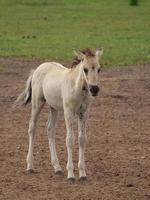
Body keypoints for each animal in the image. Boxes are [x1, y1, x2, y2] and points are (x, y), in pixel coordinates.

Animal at [15, 48, 103, 183]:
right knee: (32, 127)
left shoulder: (84, 113)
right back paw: (30, 166)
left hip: (54, 107)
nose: (94, 89)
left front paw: (82, 173)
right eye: (85, 69)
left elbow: (82, 139)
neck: (77, 88)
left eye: (99, 69)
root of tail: (37, 69)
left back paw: (57, 167)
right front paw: (71, 174)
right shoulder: (68, 112)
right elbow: (70, 139)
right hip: (37, 103)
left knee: (50, 129)